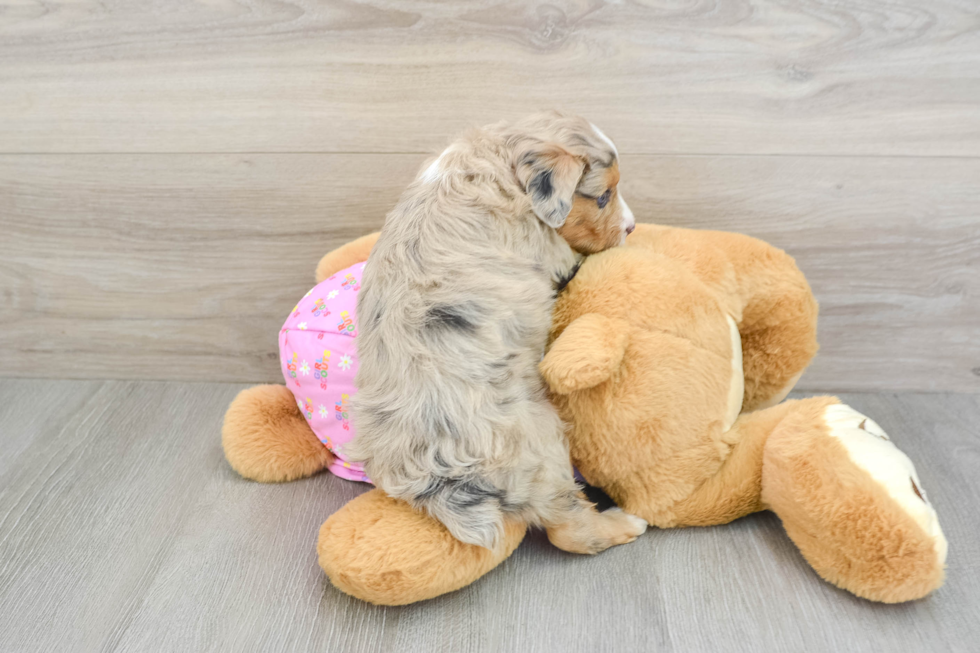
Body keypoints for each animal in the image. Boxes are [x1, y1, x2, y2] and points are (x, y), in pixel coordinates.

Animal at [348, 111, 648, 552]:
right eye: (603, 196)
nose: (631, 227)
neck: (498, 163)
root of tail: (440, 481)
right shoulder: (550, 249)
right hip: (540, 440)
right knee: (568, 529)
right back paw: (624, 523)